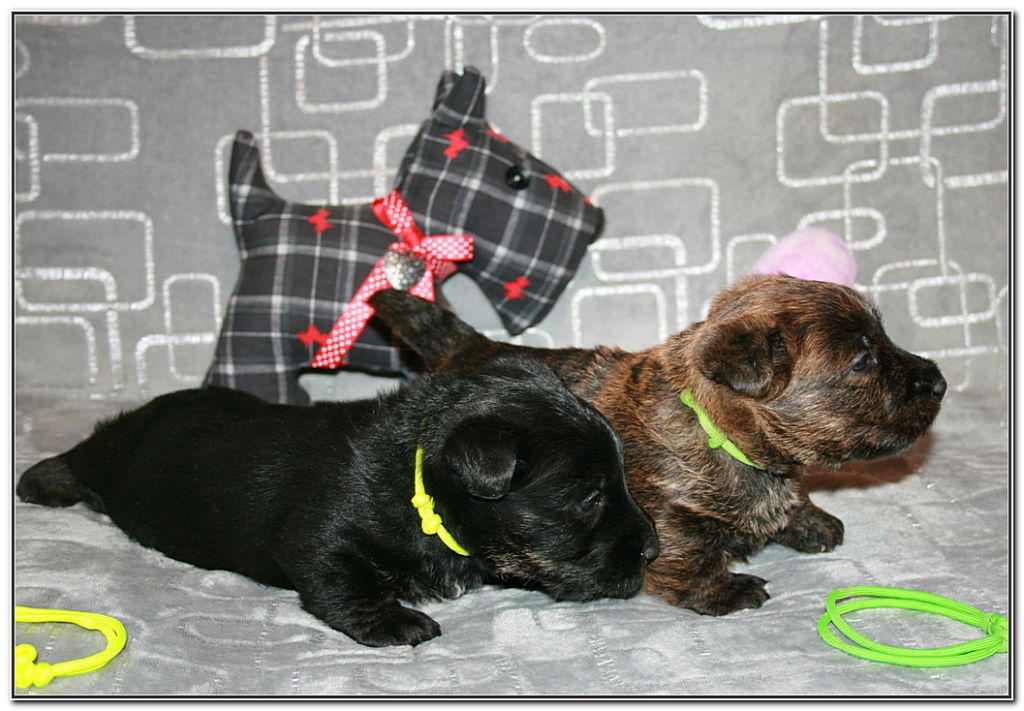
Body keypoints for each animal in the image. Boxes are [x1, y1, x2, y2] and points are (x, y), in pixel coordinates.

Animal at [17, 357, 659, 647]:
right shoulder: (320, 537)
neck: (418, 478)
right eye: (588, 497)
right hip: (120, 452)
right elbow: (343, 581)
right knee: (86, 451)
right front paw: (398, 621)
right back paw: (41, 480)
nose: (653, 550)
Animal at [368, 275, 947, 616]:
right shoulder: (667, 514)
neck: (722, 433)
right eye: (862, 361)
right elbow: (686, 557)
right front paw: (725, 591)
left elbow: (790, 497)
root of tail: (468, 350)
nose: (939, 381)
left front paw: (811, 521)